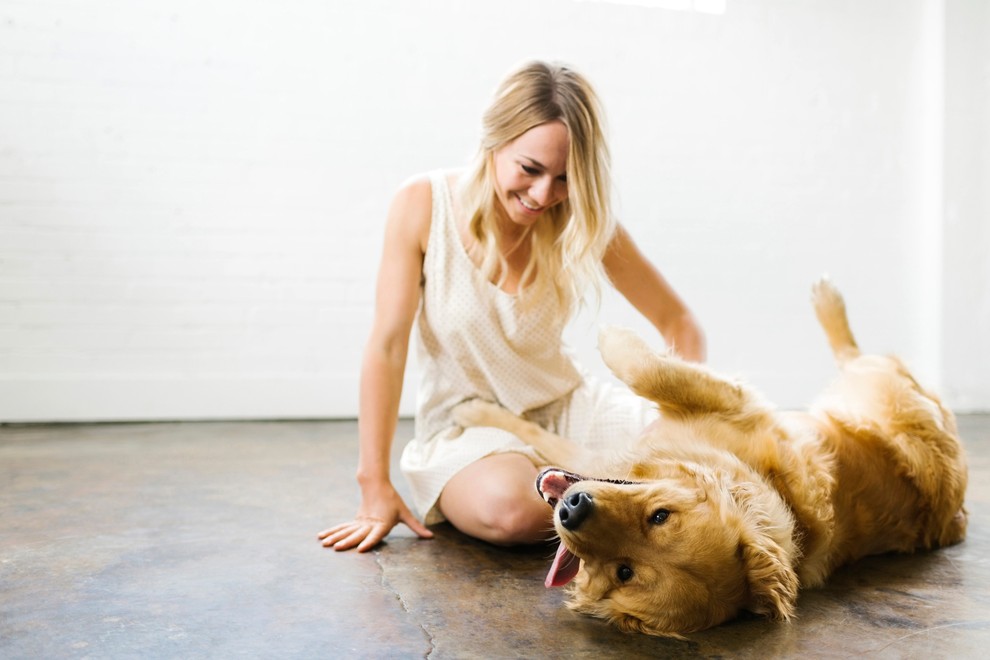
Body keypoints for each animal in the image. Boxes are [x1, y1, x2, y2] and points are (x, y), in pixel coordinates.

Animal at [456, 278, 968, 636]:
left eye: (626, 572)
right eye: (660, 515)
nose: (571, 509)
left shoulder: (722, 401)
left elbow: (642, 369)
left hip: (881, 384)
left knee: (855, 355)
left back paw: (828, 302)